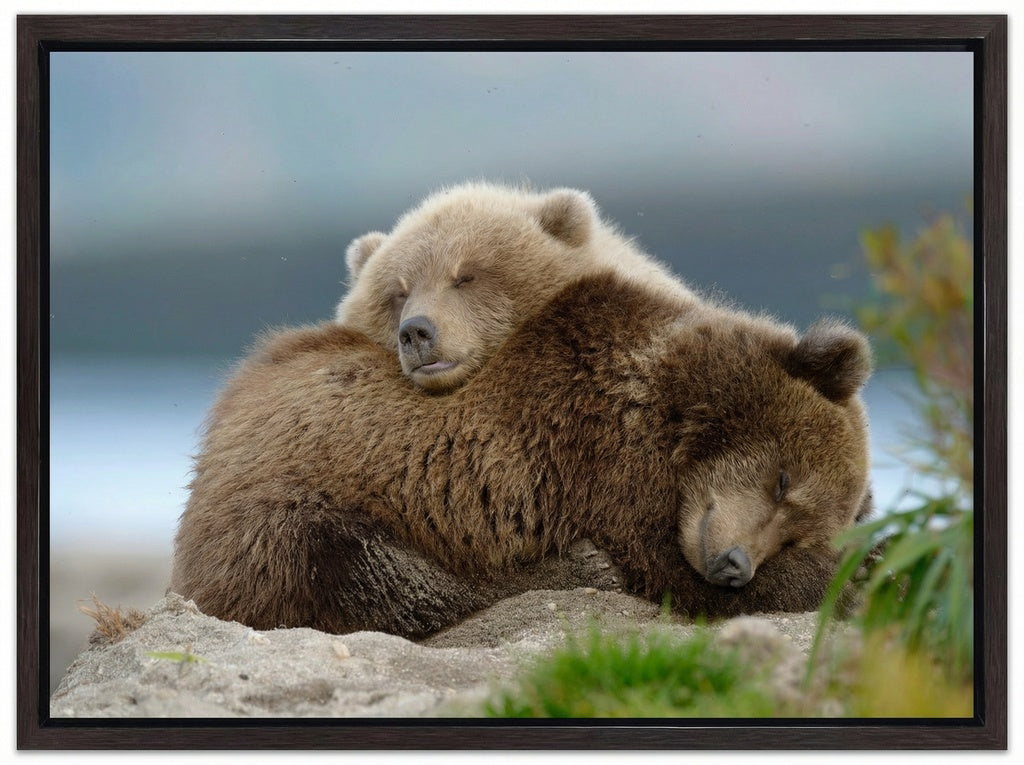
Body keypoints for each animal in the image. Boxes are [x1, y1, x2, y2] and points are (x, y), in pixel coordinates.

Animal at [171, 271, 873, 638]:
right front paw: (863, 568)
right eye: (783, 479)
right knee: (354, 568)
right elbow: (664, 569)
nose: (734, 565)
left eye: (795, 530)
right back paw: (573, 567)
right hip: (275, 506)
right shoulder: (601, 455)